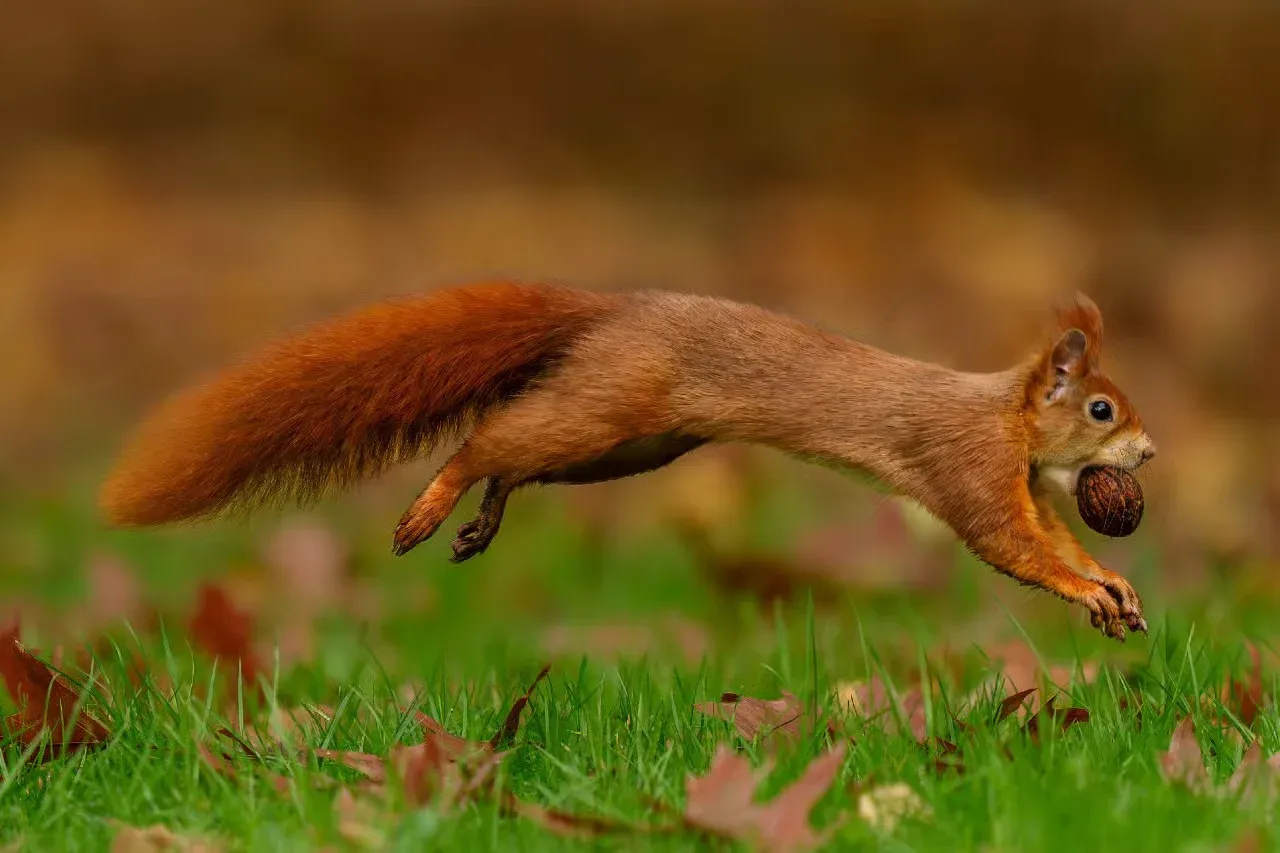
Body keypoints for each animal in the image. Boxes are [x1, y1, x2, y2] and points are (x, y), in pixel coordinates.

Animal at [100, 282, 1156, 640]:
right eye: (1103, 407)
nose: (1149, 450)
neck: (1006, 415)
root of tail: (610, 311)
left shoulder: (1022, 484)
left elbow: (1048, 535)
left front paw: (1111, 582)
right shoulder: (968, 466)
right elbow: (1008, 544)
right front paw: (1091, 588)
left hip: (631, 448)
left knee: (515, 460)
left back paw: (481, 519)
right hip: (608, 410)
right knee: (488, 439)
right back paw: (432, 506)